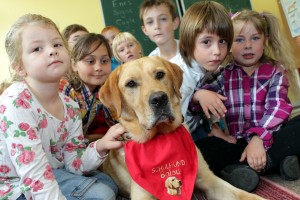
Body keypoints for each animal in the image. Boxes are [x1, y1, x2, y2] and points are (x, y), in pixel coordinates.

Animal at [99, 56, 264, 200]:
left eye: (160, 74)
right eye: (131, 84)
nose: (159, 98)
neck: (161, 136)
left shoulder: (209, 179)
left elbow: (246, 195)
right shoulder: (143, 195)